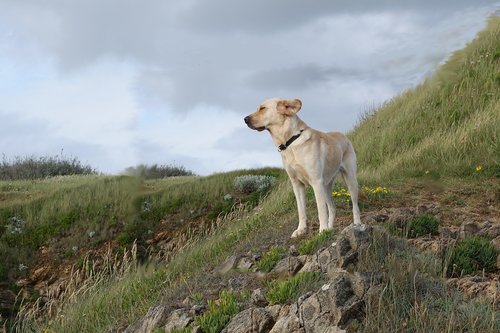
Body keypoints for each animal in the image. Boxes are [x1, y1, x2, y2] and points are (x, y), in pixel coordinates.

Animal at [245, 97, 364, 237]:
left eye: (262, 108)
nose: (245, 119)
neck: (290, 142)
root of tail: (343, 135)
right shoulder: (297, 184)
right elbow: (301, 209)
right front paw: (301, 229)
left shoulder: (316, 182)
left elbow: (320, 210)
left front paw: (322, 230)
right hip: (326, 186)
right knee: (332, 208)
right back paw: (330, 228)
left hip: (350, 180)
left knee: (354, 205)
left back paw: (356, 224)